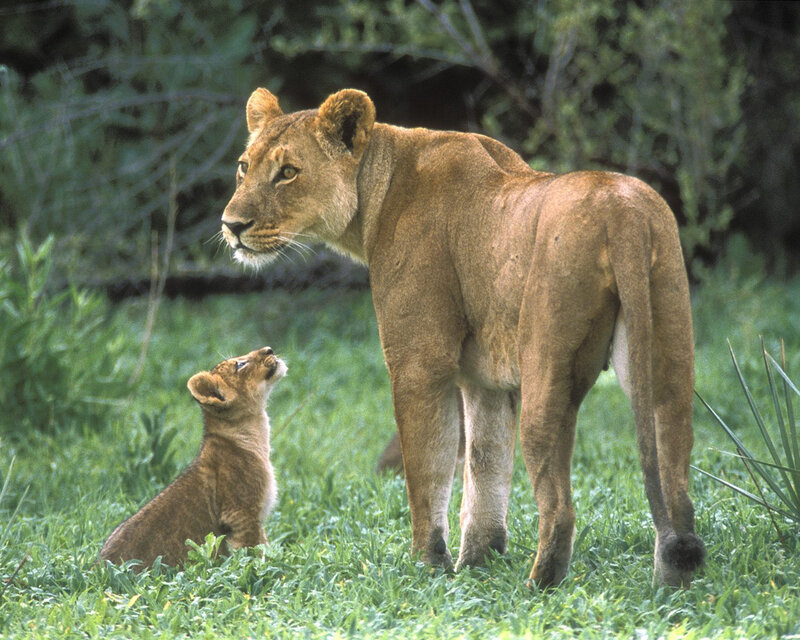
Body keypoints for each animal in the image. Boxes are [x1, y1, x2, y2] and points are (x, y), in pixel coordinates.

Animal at [99, 347, 285, 569]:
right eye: (240, 364)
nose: (269, 349)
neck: (254, 433)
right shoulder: (241, 514)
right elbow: (253, 554)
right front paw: (264, 571)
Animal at [220, 87, 705, 588]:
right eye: (243, 166)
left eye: (288, 172)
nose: (231, 225)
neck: (377, 191)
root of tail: (624, 212)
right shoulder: (484, 381)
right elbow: (486, 468)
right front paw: (478, 566)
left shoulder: (420, 365)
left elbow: (427, 472)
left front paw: (427, 567)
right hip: (667, 354)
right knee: (676, 482)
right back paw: (673, 583)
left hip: (547, 373)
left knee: (560, 507)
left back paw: (537, 588)